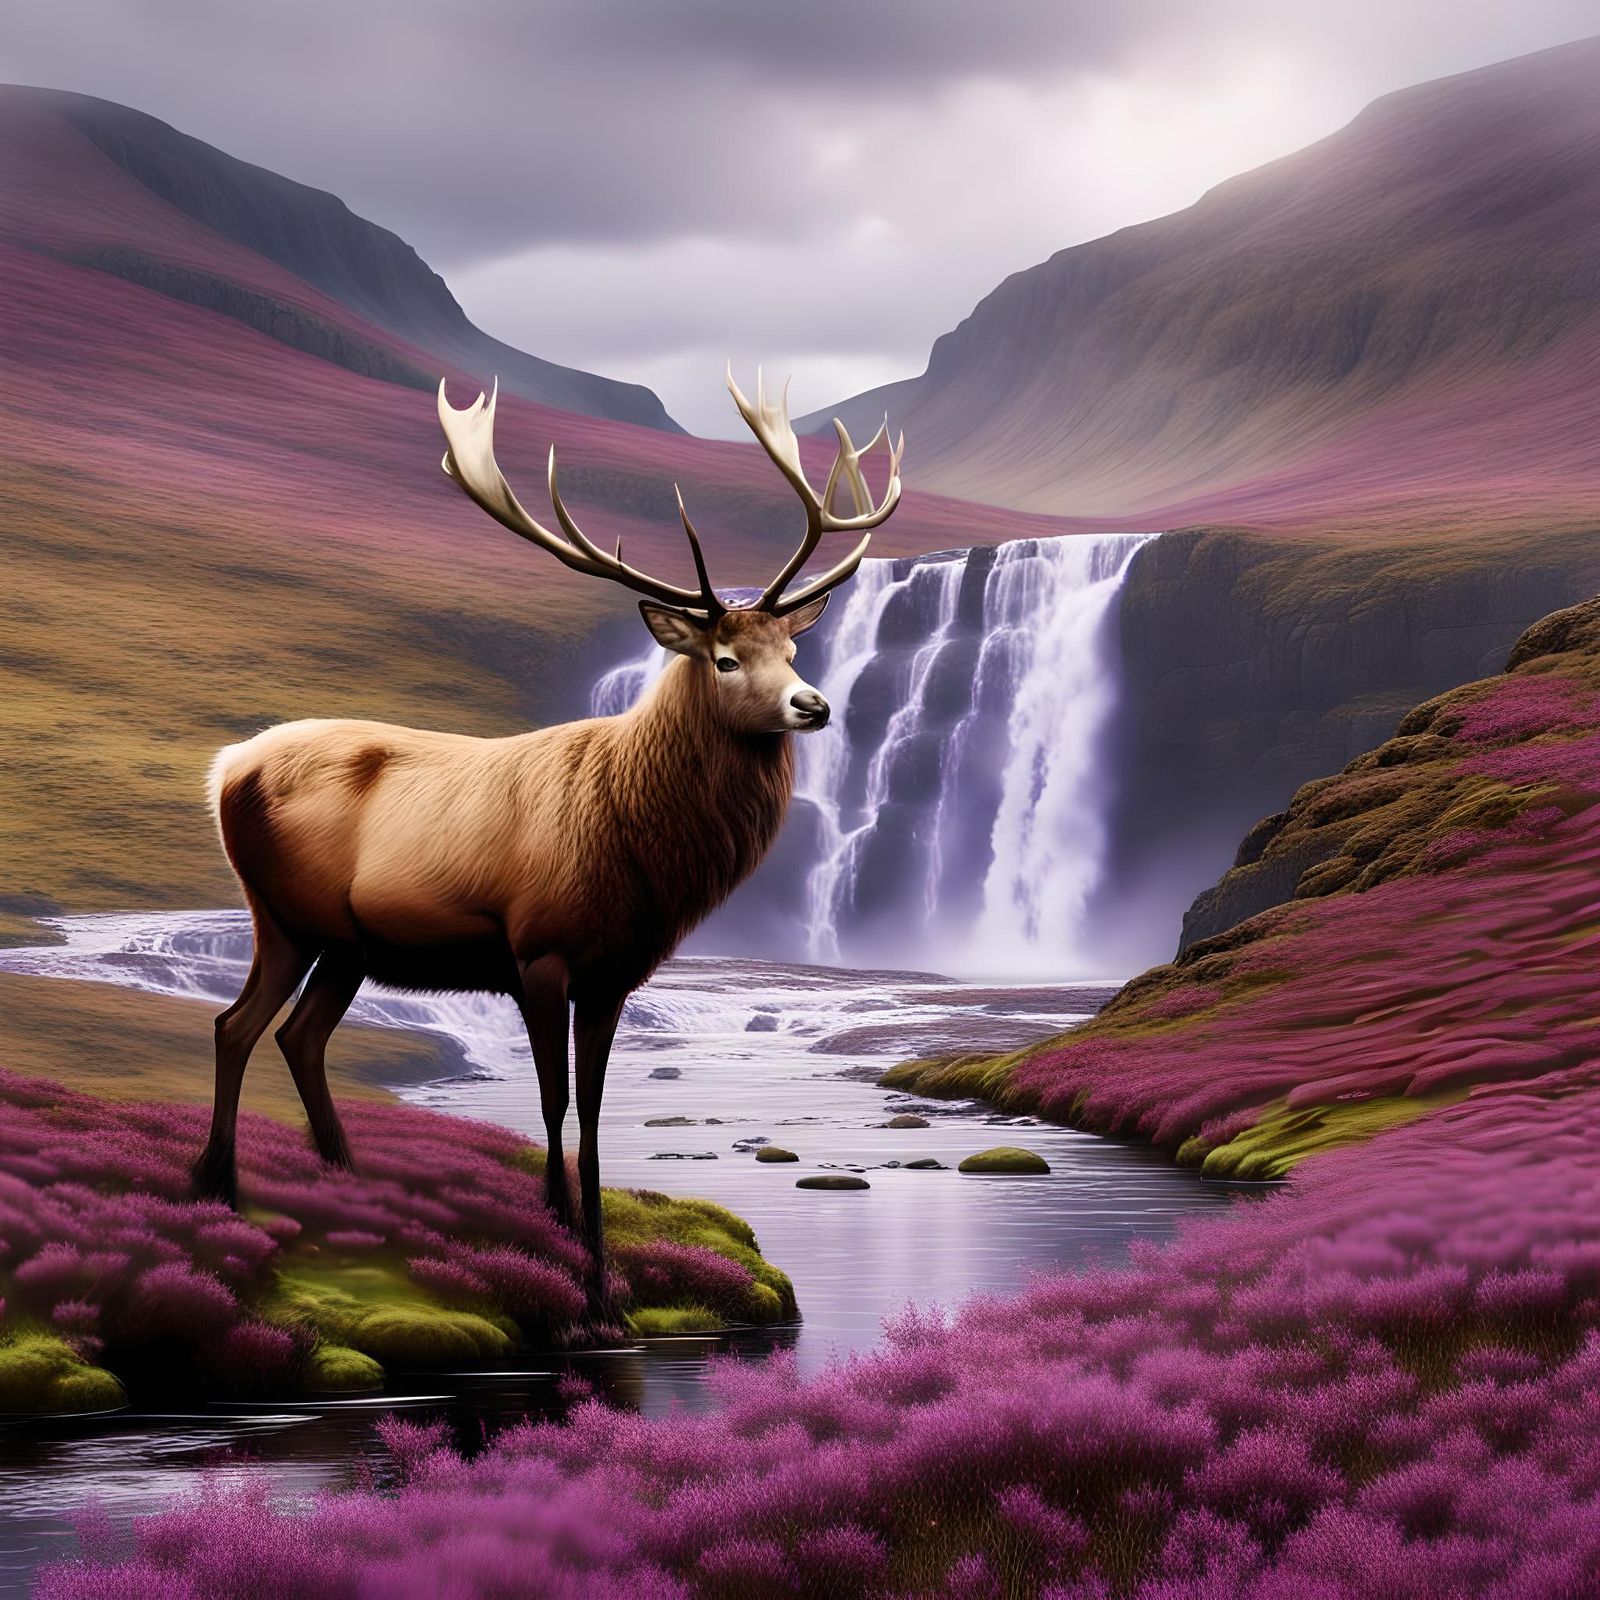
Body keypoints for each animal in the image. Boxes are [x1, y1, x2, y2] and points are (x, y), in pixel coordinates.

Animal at [193, 367, 904, 1303]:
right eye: (724, 659)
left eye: (790, 647)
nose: (814, 704)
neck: (641, 846)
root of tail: (223, 770)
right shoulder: (537, 949)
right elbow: (551, 1100)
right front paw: (559, 1236)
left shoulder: (615, 972)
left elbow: (598, 1105)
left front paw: (602, 1255)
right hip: (285, 914)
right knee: (237, 1026)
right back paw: (221, 1188)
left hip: (345, 944)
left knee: (295, 1035)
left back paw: (340, 1178)